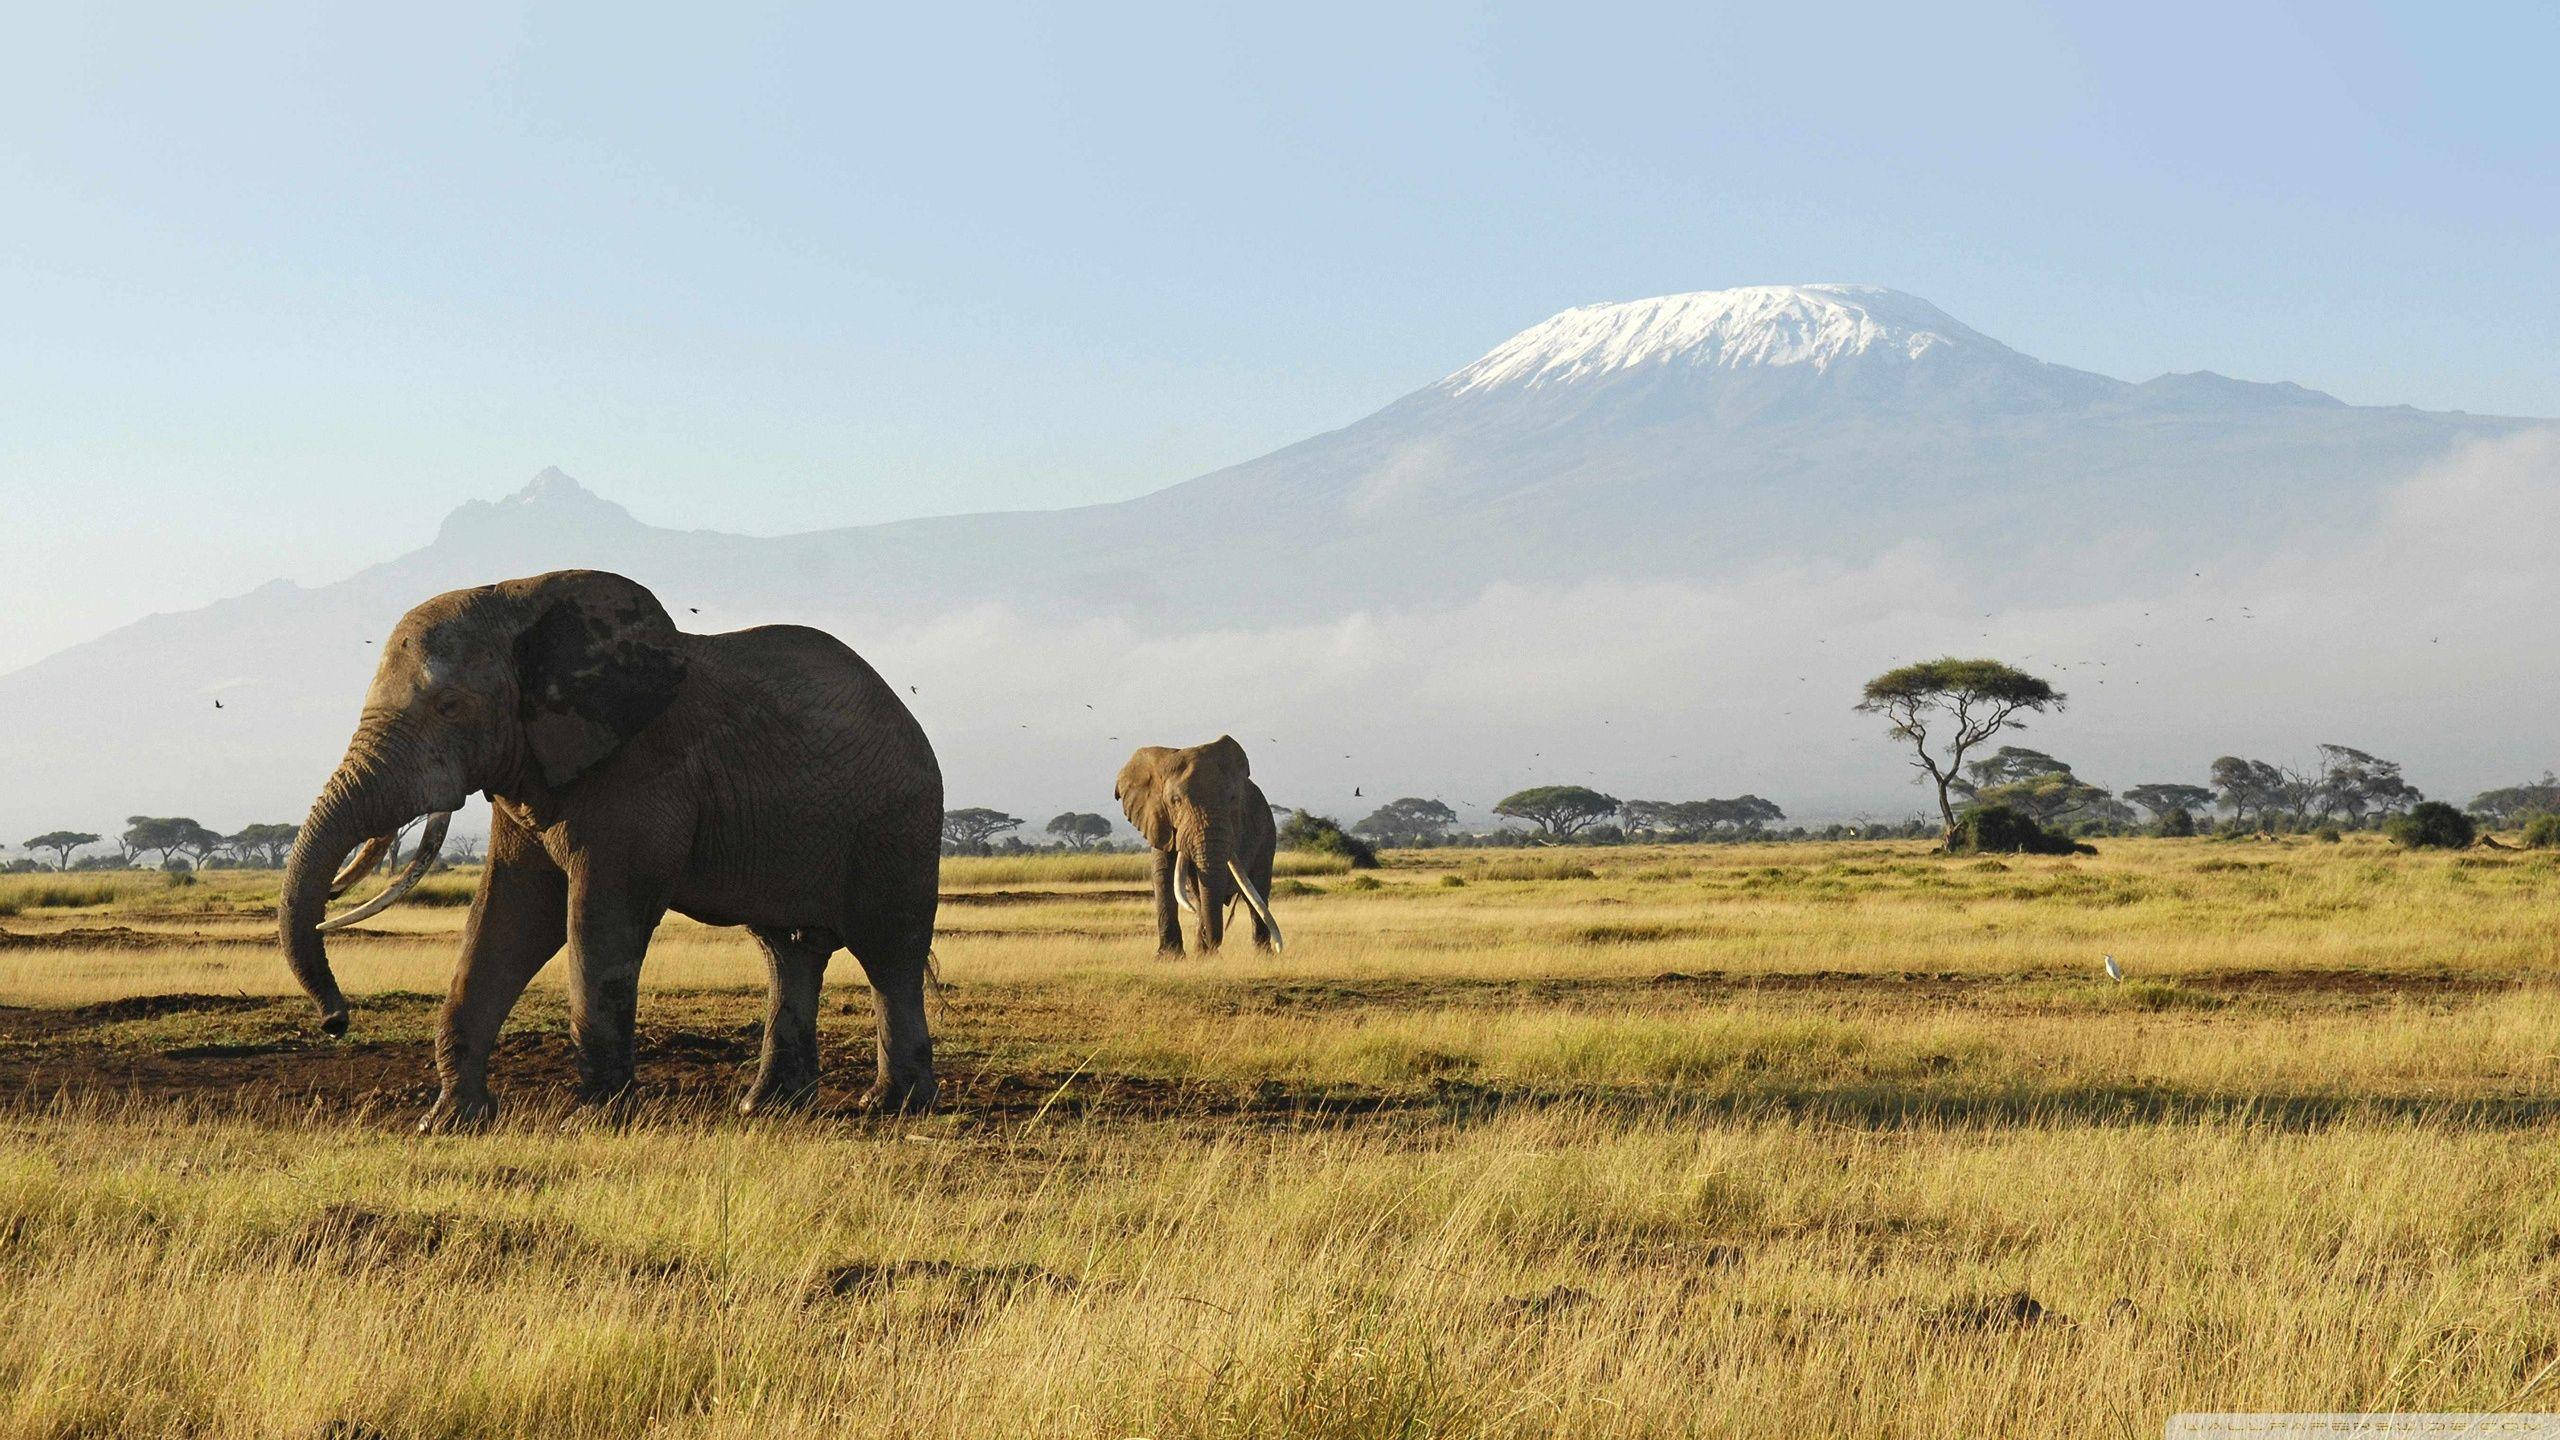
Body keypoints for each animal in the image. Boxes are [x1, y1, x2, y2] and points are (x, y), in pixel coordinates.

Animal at [277, 569, 943, 1131]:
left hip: (899, 823)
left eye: (451, 707)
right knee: (788, 950)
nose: (336, 1022)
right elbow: (509, 918)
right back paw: (768, 1107)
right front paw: (448, 1123)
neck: (520, 601)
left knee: (890, 952)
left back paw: (892, 1106)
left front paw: (594, 1120)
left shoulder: (640, 772)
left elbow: (599, 919)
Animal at [1114, 736, 1284, 956]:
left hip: (1267, 833)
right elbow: (1163, 874)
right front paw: (1170, 956)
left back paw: (1261, 955)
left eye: (1232, 800)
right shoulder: (1158, 820)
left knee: (1257, 893)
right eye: (1175, 801)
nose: (1213, 946)